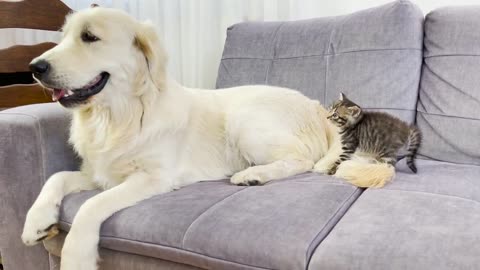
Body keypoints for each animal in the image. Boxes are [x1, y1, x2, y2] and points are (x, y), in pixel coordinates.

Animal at [19, 6, 394, 270]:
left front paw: (76, 255)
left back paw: (253, 175)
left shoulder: (153, 177)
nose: (35, 67)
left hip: (245, 117)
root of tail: (315, 106)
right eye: (64, 36)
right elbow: (56, 177)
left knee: (300, 160)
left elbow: (91, 206)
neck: (117, 116)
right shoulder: (98, 172)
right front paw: (36, 221)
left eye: (90, 37)